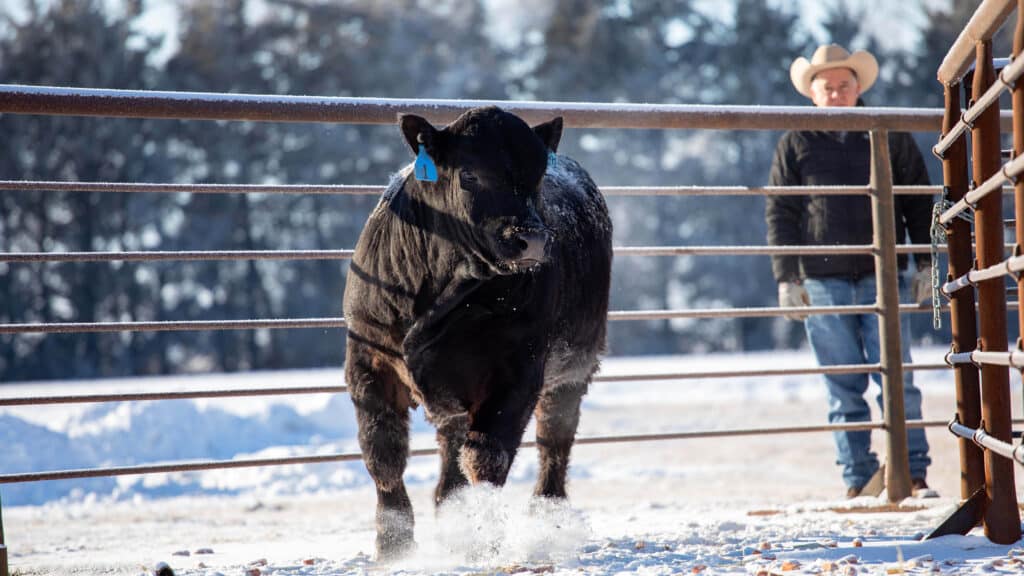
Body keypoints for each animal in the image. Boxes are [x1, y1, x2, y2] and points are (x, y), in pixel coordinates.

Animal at [342, 106, 612, 559]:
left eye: (538, 175)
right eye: (469, 174)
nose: (531, 239)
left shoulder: (519, 369)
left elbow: (486, 458)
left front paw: (480, 536)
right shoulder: (367, 359)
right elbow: (383, 453)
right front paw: (393, 545)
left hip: (575, 368)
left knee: (553, 440)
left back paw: (547, 518)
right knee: (451, 450)